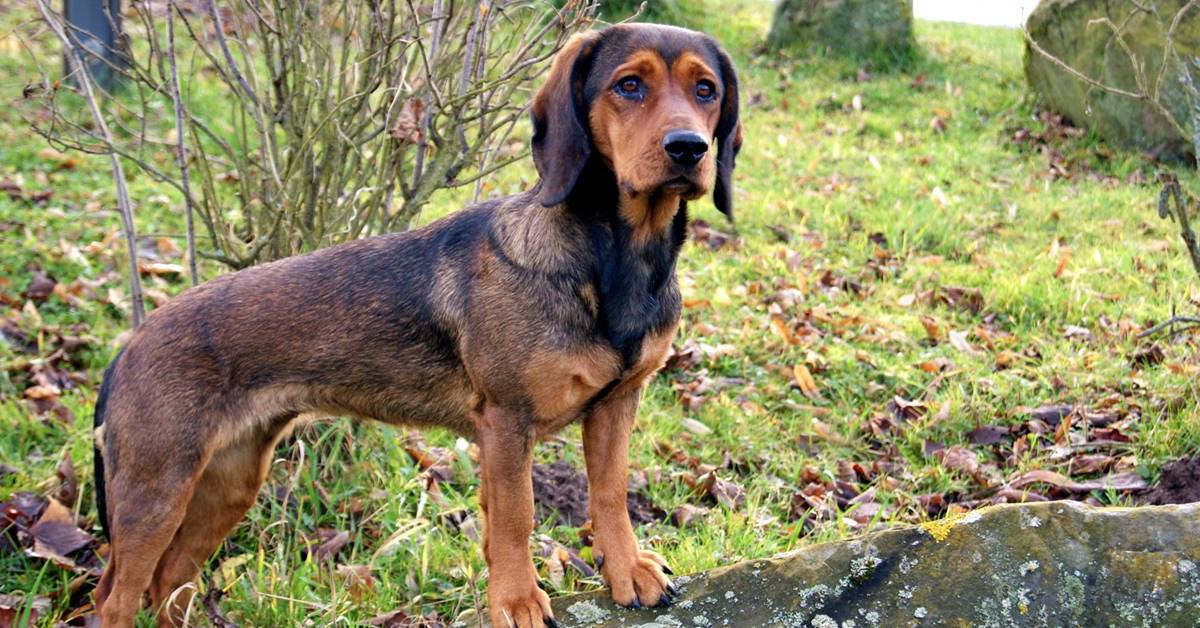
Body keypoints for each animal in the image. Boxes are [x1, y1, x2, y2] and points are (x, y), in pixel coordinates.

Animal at [91, 23, 739, 628]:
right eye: (628, 85)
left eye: (705, 90)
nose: (689, 148)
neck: (611, 260)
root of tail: (130, 346)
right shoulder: (506, 421)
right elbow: (517, 516)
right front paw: (517, 599)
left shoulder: (616, 405)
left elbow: (608, 493)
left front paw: (627, 569)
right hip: (156, 492)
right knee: (115, 599)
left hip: (229, 480)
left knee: (170, 580)